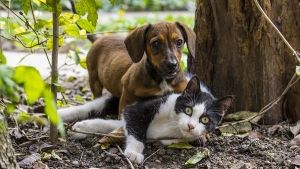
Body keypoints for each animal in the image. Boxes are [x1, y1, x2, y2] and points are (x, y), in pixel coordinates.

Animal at [58, 21, 196, 122]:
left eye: (179, 42)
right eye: (155, 43)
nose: (172, 65)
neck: (162, 79)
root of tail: (99, 38)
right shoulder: (128, 95)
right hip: (94, 79)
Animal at [67, 76, 233, 164]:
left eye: (205, 119)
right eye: (188, 110)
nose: (191, 126)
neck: (173, 124)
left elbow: (117, 125)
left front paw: (84, 127)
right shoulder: (139, 108)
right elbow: (135, 127)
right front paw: (134, 153)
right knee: (90, 107)